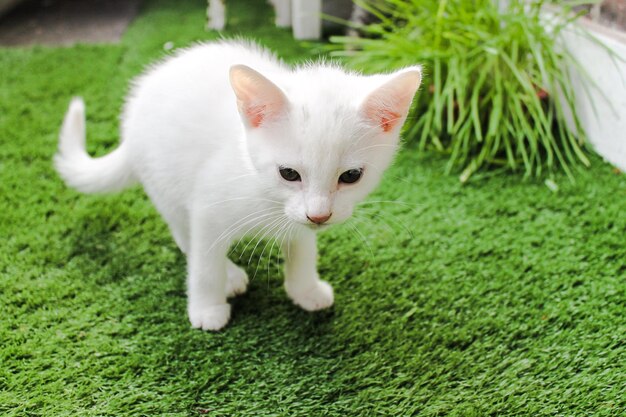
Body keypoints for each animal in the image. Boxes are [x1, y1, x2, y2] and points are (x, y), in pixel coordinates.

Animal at [56, 40, 420, 330]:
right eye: (289, 174)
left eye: (351, 176)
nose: (320, 216)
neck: (262, 190)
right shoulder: (207, 206)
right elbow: (204, 264)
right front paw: (207, 308)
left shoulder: (299, 219)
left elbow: (303, 245)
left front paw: (305, 289)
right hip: (163, 179)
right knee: (183, 232)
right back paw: (229, 275)